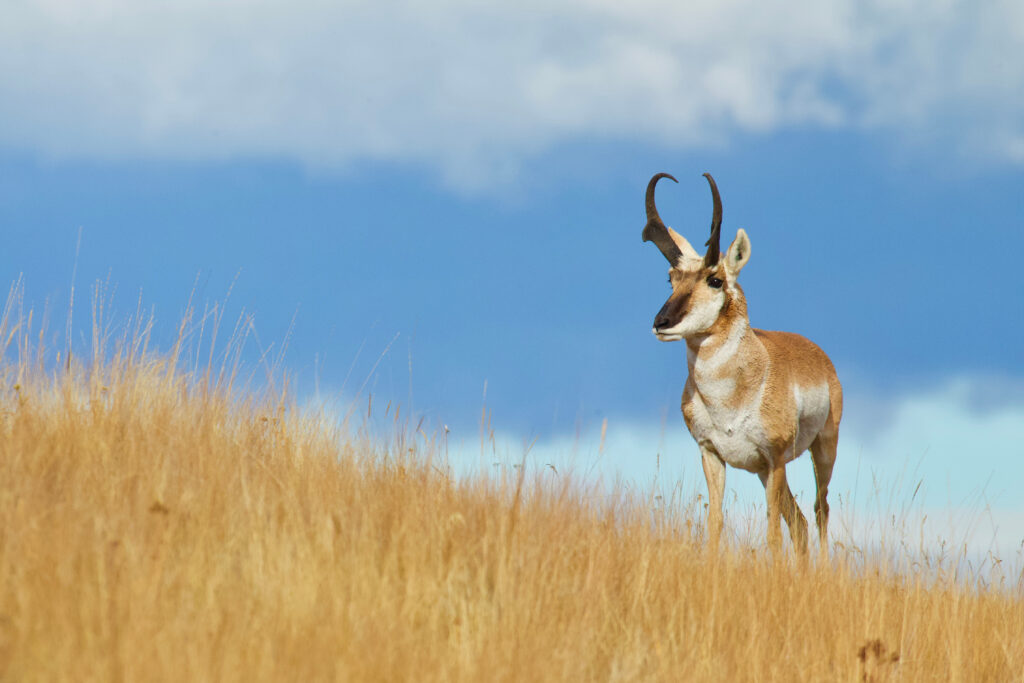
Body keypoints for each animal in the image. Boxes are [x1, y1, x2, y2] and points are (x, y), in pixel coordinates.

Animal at [642, 172, 842, 556]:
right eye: (670, 278)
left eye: (715, 280)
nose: (662, 323)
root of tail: (817, 353)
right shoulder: (712, 455)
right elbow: (715, 523)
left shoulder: (775, 458)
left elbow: (772, 534)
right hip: (765, 471)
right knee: (800, 523)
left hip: (822, 450)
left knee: (820, 510)